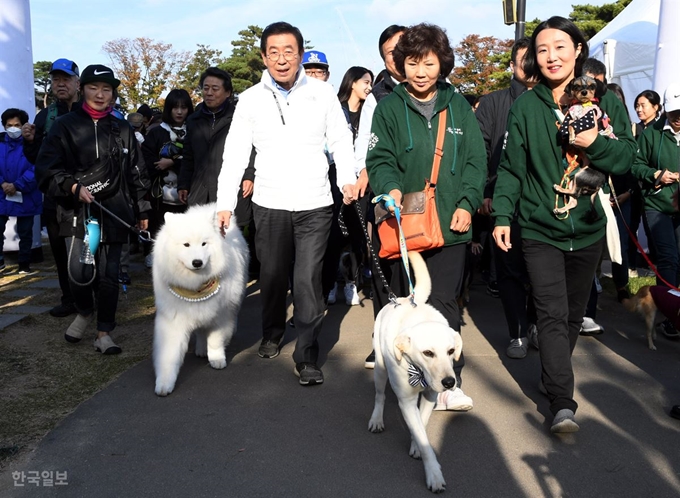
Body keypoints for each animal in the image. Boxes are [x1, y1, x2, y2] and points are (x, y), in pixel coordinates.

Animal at [153, 203, 248, 396]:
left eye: (204, 244)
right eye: (186, 245)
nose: (197, 262)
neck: (195, 287)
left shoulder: (220, 315)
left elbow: (215, 340)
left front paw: (217, 359)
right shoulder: (174, 320)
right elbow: (169, 355)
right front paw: (164, 384)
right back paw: (200, 349)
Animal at [370, 251, 464, 492]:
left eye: (451, 351)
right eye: (428, 353)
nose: (449, 383)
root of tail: (404, 299)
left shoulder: (430, 396)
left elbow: (421, 424)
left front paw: (415, 444)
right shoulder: (406, 401)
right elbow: (423, 438)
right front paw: (433, 474)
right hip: (380, 369)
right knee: (380, 396)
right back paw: (376, 419)